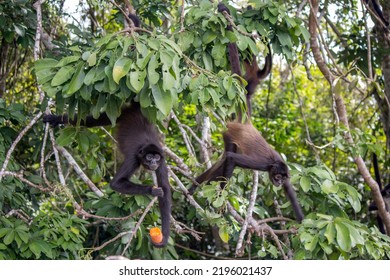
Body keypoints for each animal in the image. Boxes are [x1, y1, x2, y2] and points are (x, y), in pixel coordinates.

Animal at [189, 1, 304, 221]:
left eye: (283, 177)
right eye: (277, 176)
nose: (278, 182)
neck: (275, 163)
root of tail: (245, 123)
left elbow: (292, 196)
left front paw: (303, 223)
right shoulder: (263, 164)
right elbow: (232, 160)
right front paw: (220, 197)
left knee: (222, 159)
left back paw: (193, 186)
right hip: (229, 135)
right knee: (227, 158)